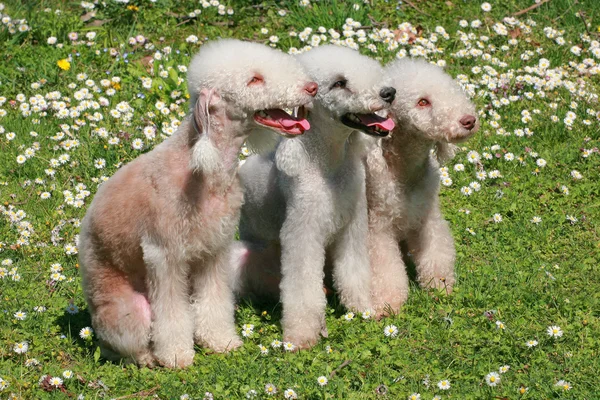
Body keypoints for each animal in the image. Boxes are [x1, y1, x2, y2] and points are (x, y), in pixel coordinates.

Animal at [236, 45, 398, 348]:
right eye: (339, 83)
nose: (389, 92)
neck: (327, 164)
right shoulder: (302, 233)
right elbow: (301, 287)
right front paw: (301, 336)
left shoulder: (352, 226)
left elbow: (354, 272)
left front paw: (363, 310)